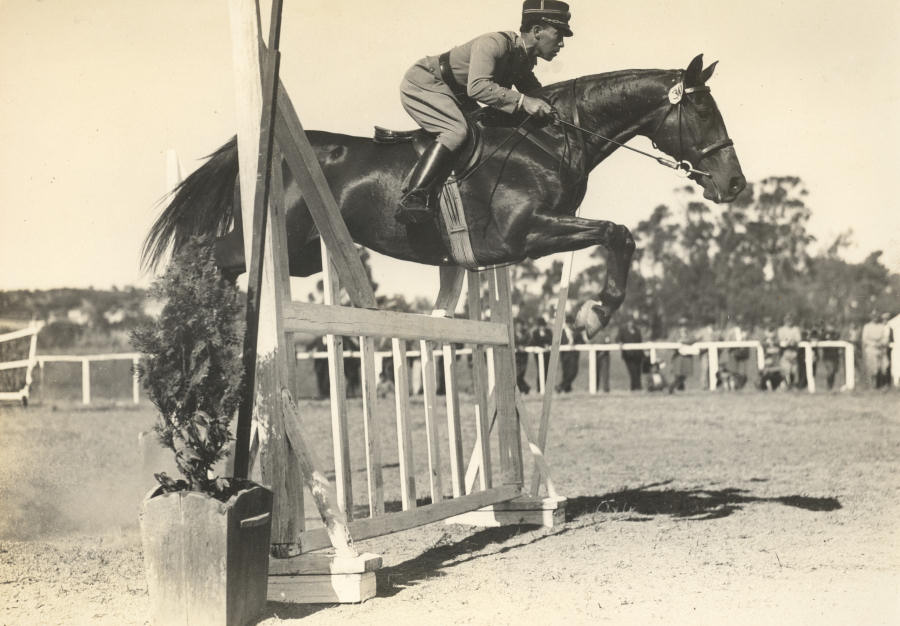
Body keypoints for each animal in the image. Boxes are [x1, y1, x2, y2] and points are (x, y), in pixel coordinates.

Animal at [143, 54, 744, 332]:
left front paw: (594, 312)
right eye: (702, 111)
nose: (734, 183)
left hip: (307, 254)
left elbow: (621, 235)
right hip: (278, 238)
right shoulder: (521, 235)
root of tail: (263, 147)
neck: (549, 140)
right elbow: (617, 233)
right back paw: (199, 318)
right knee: (211, 255)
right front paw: (595, 313)